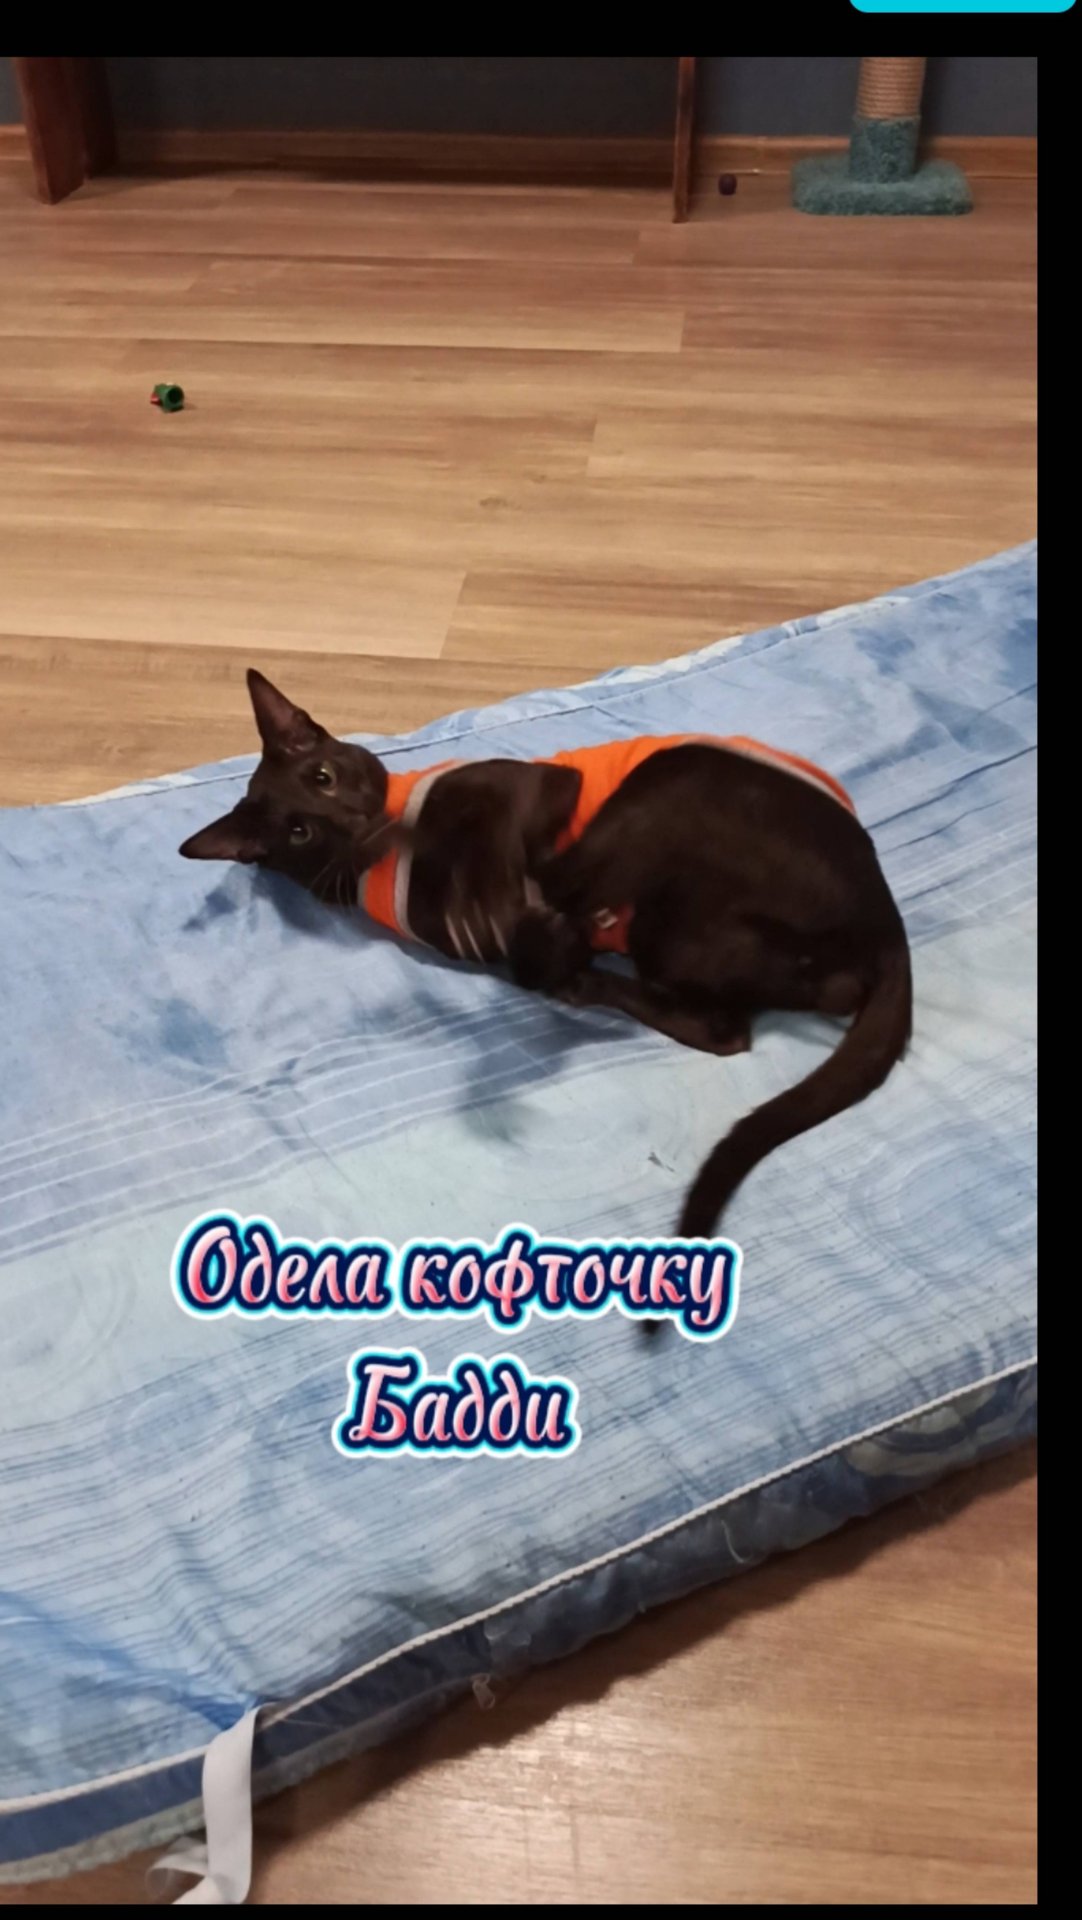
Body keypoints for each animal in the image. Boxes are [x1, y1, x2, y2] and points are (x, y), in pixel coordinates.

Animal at [180, 670, 911, 1240]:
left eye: (324, 776)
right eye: (301, 830)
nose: (354, 823)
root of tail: (884, 918)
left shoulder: (540, 787)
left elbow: (499, 838)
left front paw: (465, 870)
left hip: (675, 780)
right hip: (685, 917)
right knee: (731, 1022)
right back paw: (572, 960)